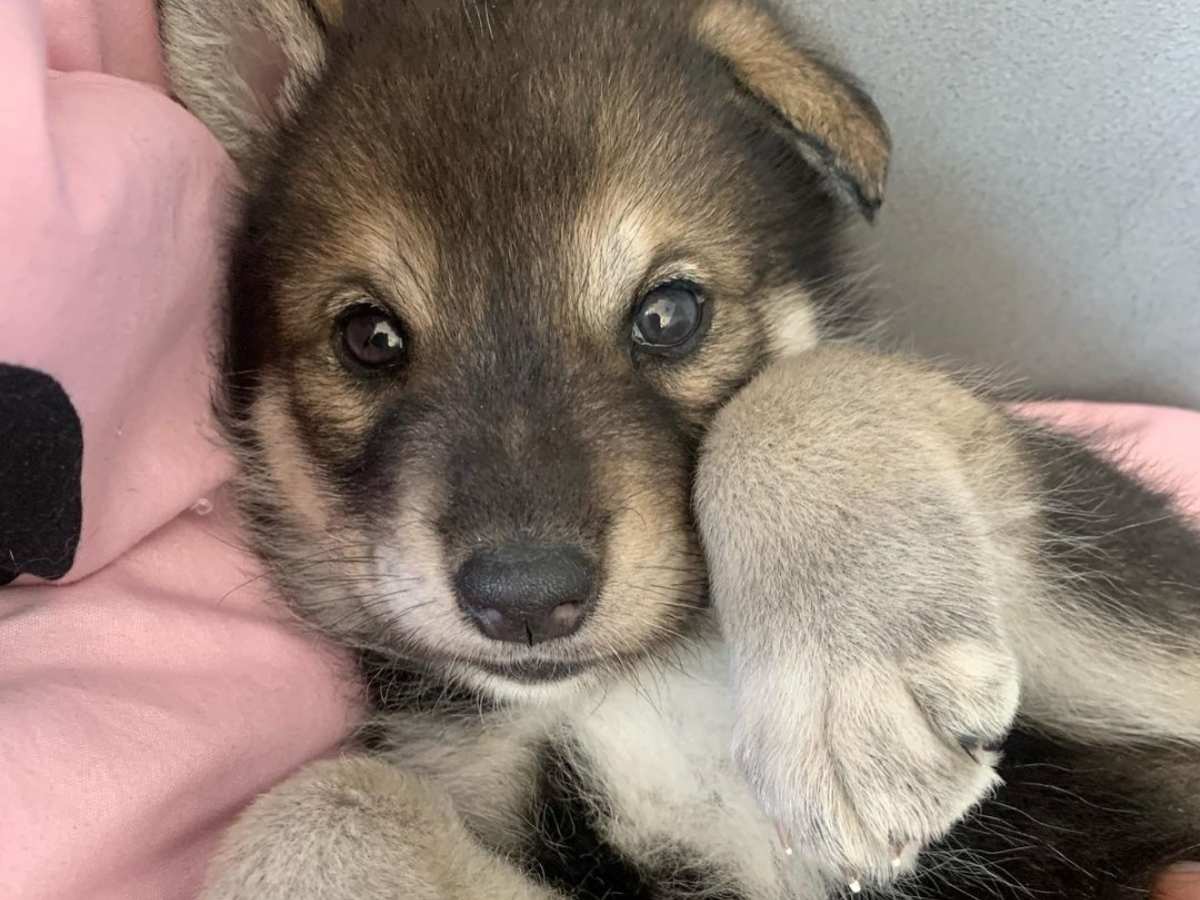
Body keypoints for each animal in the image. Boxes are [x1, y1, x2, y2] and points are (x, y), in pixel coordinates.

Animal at [157, 1, 1200, 900]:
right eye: (369, 337)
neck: (641, 677)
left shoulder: (1158, 631)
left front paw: (853, 700)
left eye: (669, 315)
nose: (526, 600)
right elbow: (319, 802)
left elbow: (807, 380)